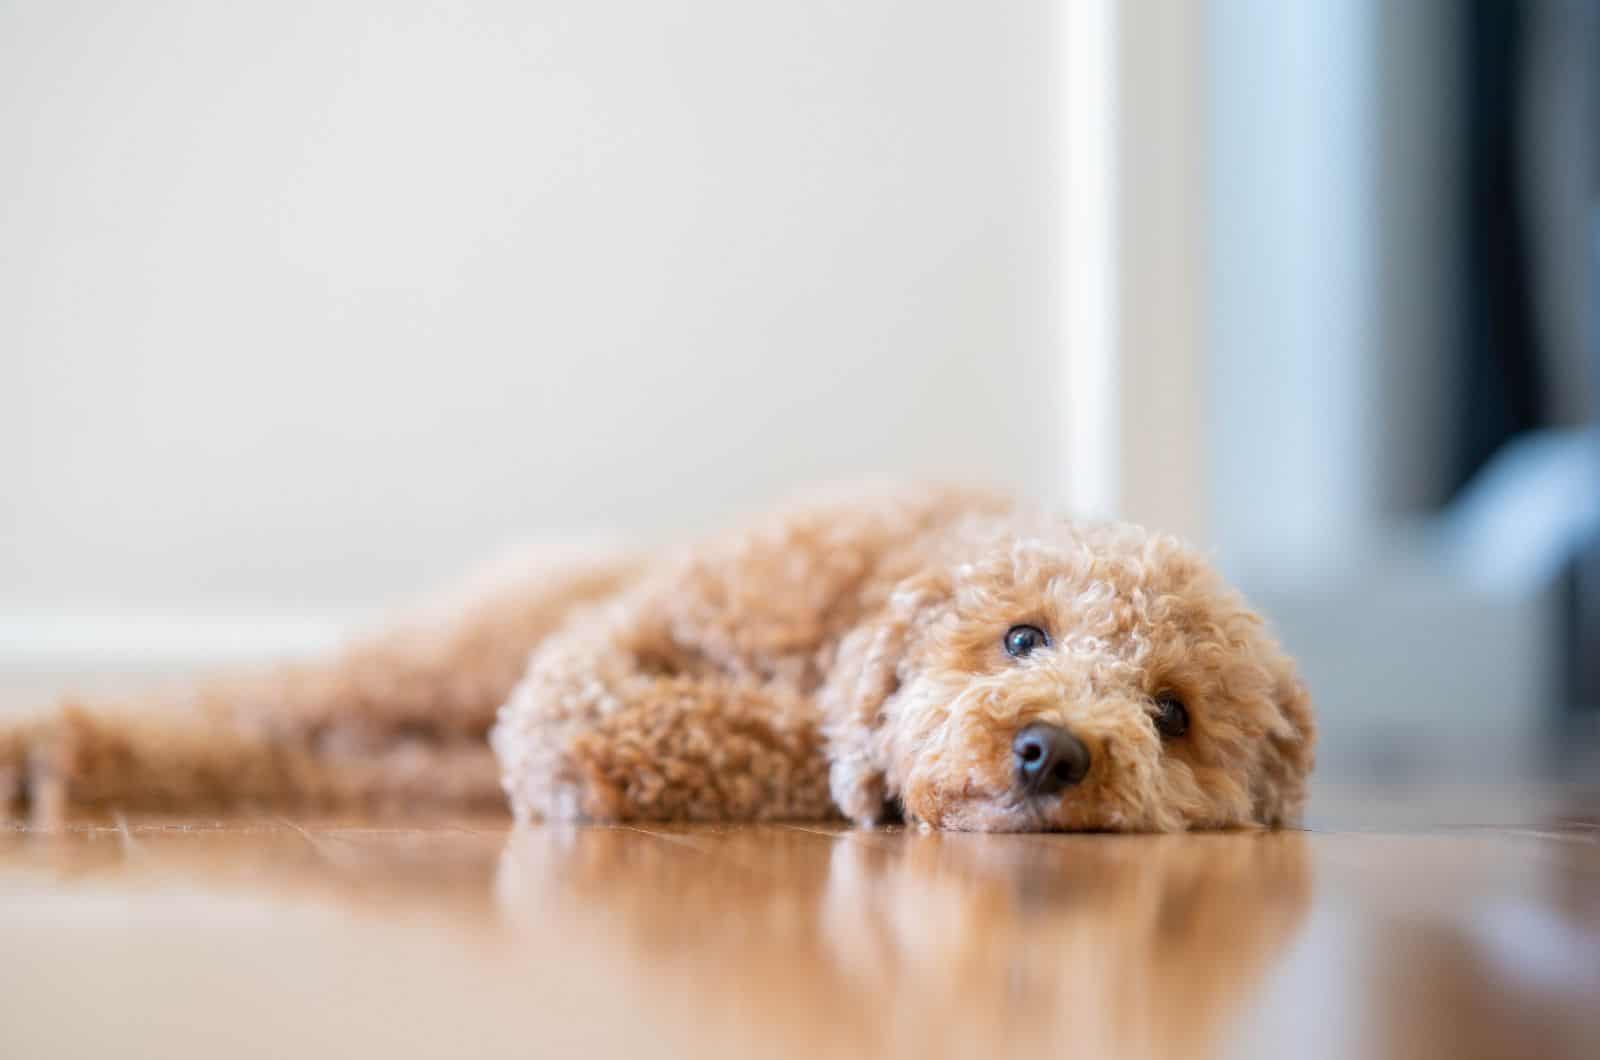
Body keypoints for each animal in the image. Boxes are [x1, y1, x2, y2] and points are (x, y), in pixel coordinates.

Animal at [0, 486, 1312, 832]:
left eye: (1173, 713)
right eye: (1022, 634)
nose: (1050, 751)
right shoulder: (607, 641)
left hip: (418, 751)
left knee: (301, 757)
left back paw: (87, 759)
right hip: (450, 653)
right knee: (267, 694)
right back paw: (46, 745)